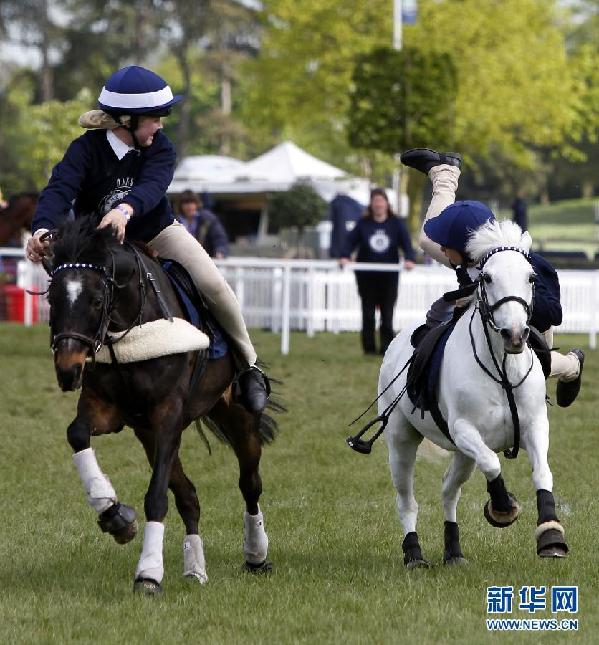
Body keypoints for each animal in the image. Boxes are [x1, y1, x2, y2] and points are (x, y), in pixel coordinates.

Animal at [47, 216, 282, 592]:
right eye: (52, 299)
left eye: (97, 300)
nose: (68, 371)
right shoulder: (108, 409)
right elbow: (78, 433)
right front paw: (114, 514)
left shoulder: (169, 416)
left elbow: (156, 497)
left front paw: (148, 575)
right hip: (149, 437)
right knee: (189, 497)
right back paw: (195, 568)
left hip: (238, 418)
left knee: (250, 485)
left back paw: (256, 555)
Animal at [380, 220, 568, 564]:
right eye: (487, 277)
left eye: (531, 277)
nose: (515, 334)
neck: (503, 370)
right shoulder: (464, 429)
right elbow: (493, 464)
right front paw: (503, 507)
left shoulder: (535, 425)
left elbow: (542, 473)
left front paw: (551, 534)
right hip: (401, 440)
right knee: (406, 500)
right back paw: (414, 555)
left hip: (463, 455)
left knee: (448, 491)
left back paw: (453, 551)